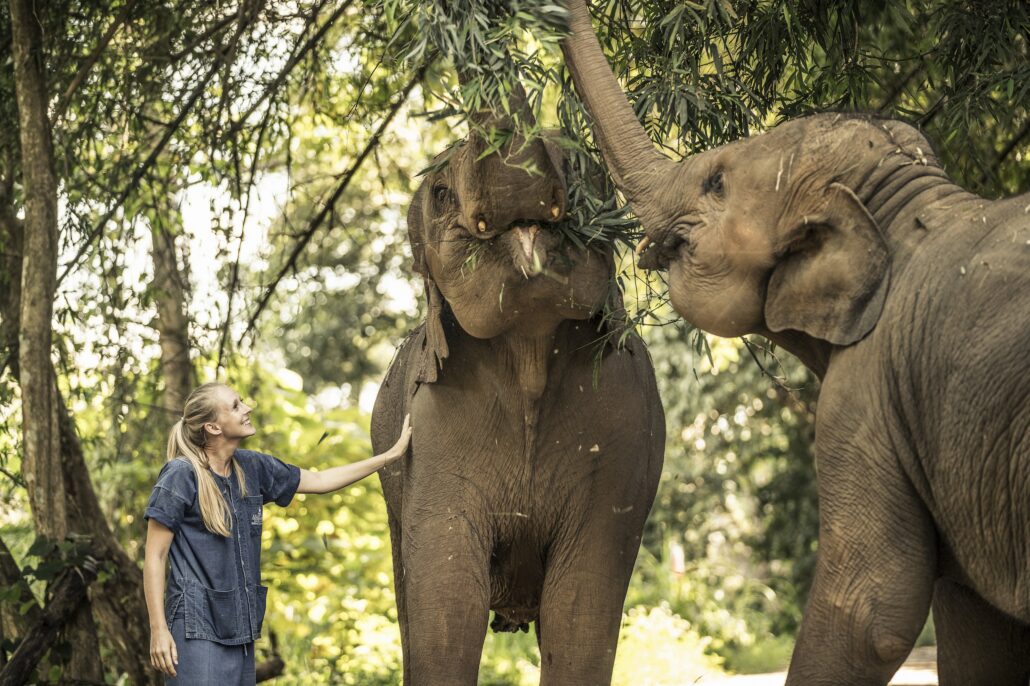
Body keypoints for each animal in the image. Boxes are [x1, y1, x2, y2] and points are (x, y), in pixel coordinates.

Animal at [369, 97, 665, 684]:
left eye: (584, 169)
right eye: (441, 194)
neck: (529, 348)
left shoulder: (625, 437)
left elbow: (580, 606)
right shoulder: (429, 438)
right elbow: (449, 604)